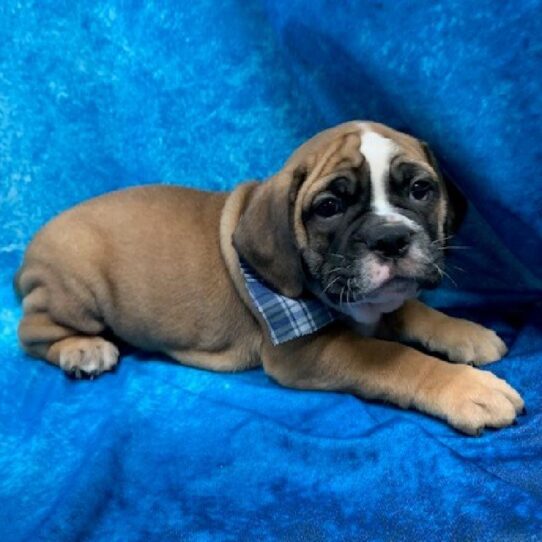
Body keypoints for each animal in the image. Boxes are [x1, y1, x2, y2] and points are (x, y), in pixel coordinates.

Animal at [17, 121, 524, 436]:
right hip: (76, 289)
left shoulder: (381, 300)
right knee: (33, 330)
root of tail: (31, 250)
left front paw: (466, 333)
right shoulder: (306, 351)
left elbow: (413, 310)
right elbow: (393, 356)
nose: (391, 238)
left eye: (420, 190)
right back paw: (84, 349)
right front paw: (468, 388)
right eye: (329, 207)